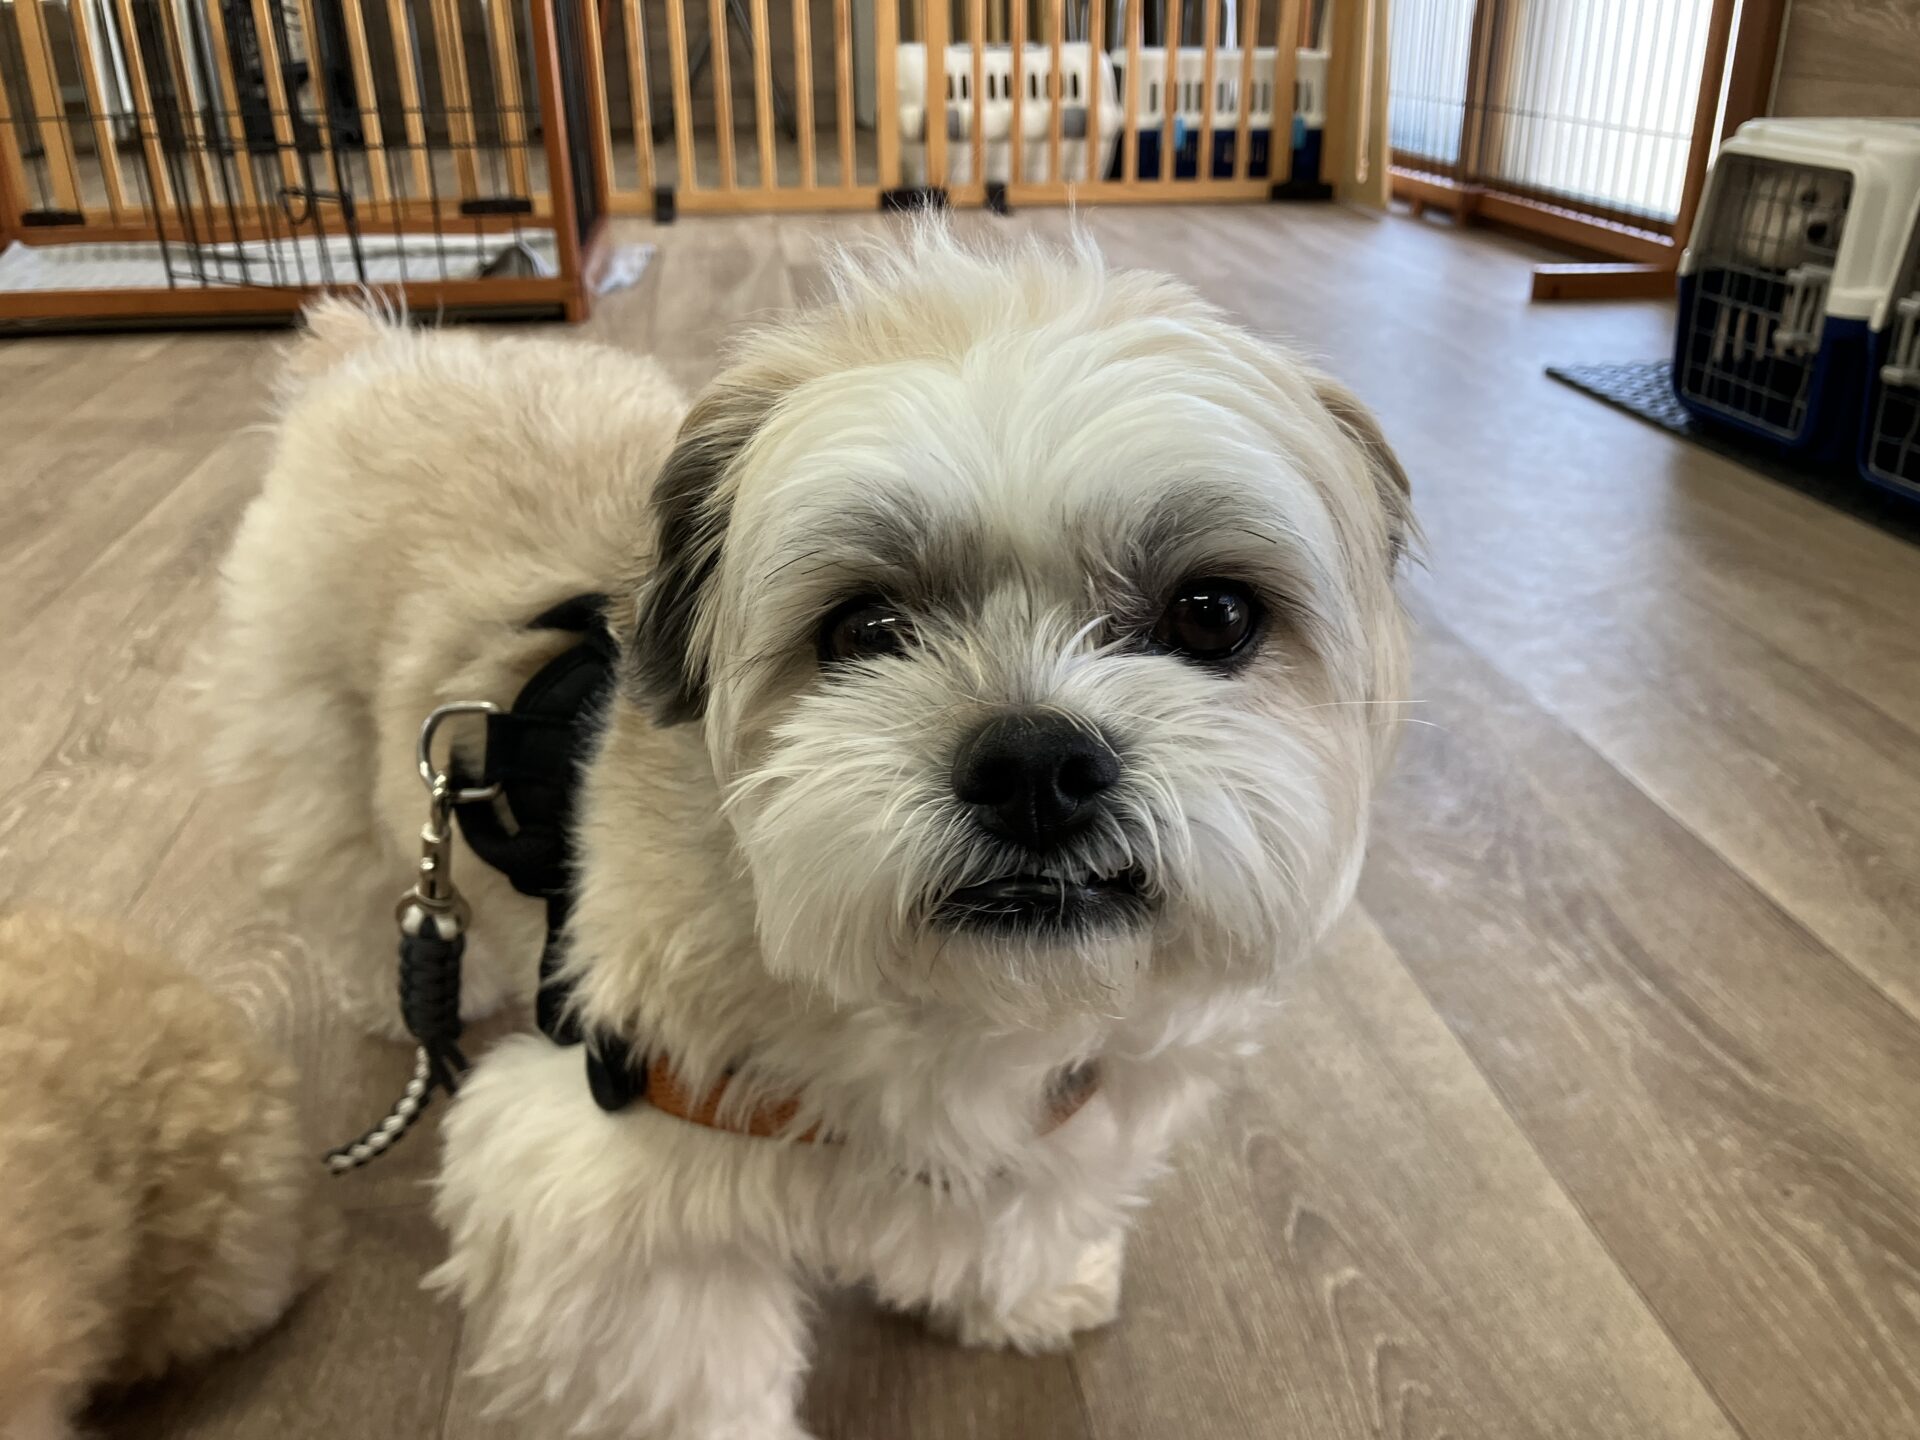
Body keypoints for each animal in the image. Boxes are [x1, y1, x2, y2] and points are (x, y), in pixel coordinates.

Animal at [206, 226, 1412, 1439]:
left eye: (1211, 615)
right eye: (864, 629)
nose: (1035, 764)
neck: (948, 1013)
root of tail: (378, 353)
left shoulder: (1071, 1112)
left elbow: (1026, 1212)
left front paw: (1022, 1294)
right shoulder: (615, 1199)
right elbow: (689, 1381)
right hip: (320, 747)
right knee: (353, 881)